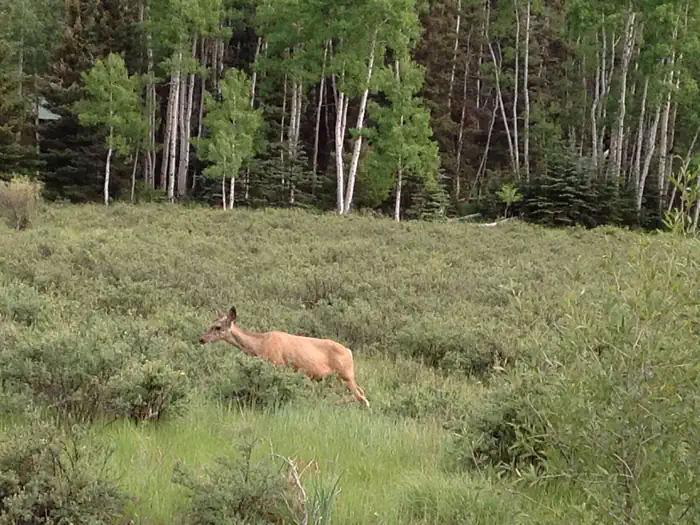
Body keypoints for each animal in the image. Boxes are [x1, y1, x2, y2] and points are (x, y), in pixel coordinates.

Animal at [199, 305, 370, 408]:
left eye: (218, 327)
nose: (201, 339)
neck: (260, 344)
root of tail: (348, 351)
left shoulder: (277, 363)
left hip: (345, 374)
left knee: (362, 397)